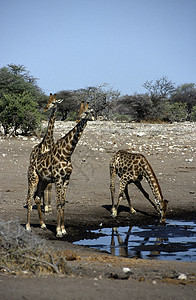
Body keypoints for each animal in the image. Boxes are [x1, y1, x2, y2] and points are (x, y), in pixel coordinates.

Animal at [25, 102, 93, 237]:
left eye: (92, 110)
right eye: (86, 111)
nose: (93, 117)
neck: (67, 153)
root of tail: (31, 162)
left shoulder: (66, 179)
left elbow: (62, 203)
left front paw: (63, 229)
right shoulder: (58, 179)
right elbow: (58, 203)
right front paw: (58, 231)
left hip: (43, 180)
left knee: (37, 197)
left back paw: (43, 225)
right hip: (33, 178)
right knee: (29, 198)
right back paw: (28, 226)